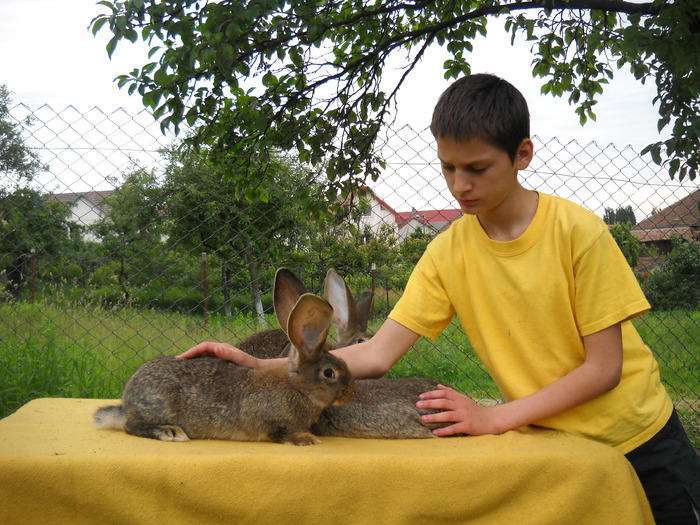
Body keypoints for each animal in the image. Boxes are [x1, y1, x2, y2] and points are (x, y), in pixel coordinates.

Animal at [92, 292, 356, 444]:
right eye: (329, 373)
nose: (351, 393)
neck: (298, 388)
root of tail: (128, 400)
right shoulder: (269, 419)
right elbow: (280, 433)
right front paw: (305, 439)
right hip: (156, 404)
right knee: (131, 426)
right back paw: (169, 432)